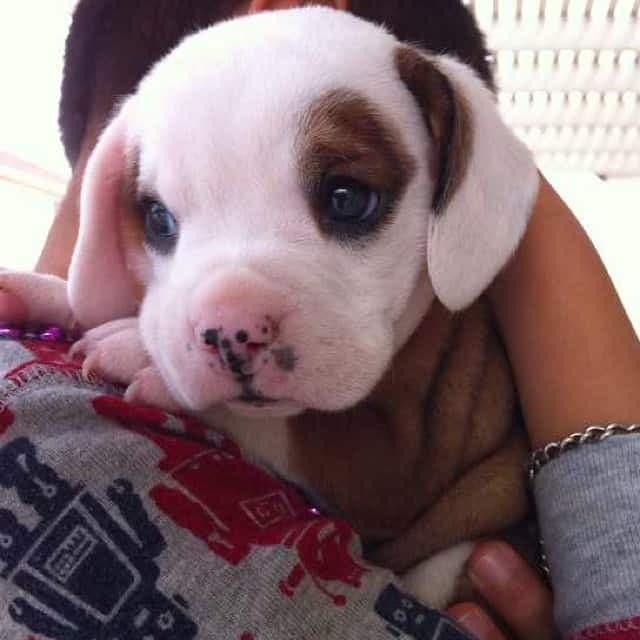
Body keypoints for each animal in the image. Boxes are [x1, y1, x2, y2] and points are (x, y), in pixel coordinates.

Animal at [0, 6, 540, 604]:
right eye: (158, 220)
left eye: (348, 199)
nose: (229, 327)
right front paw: (44, 292)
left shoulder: (397, 464)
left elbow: (289, 428)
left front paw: (141, 355)